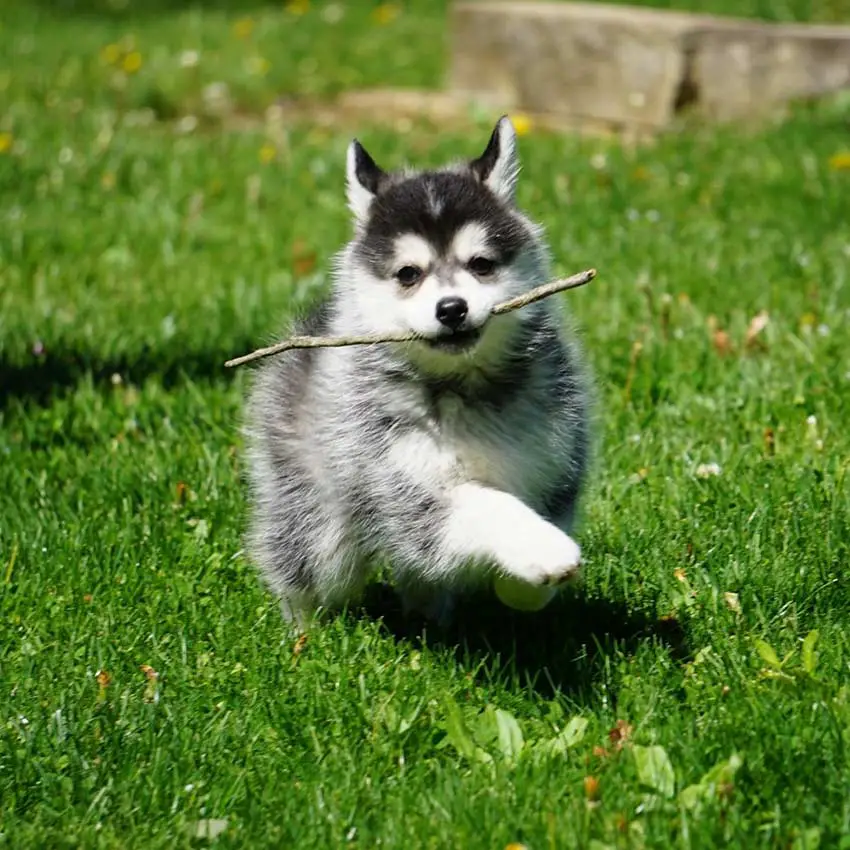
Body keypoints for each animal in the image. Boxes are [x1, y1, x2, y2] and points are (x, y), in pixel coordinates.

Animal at [245, 116, 588, 628]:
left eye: (481, 264)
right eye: (408, 274)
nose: (451, 308)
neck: (463, 387)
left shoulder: (557, 463)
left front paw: (522, 586)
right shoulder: (400, 484)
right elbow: (484, 504)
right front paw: (541, 548)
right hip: (317, 515)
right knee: (306, 565)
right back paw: (304, 632)